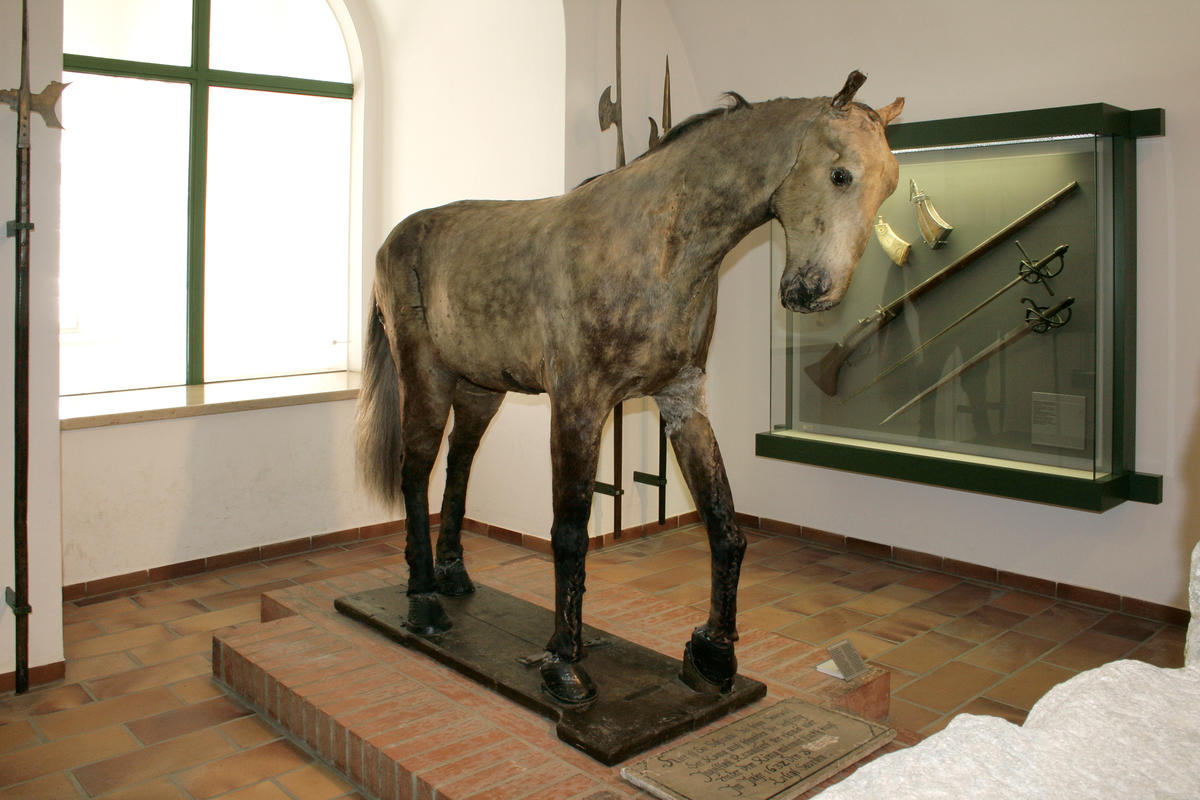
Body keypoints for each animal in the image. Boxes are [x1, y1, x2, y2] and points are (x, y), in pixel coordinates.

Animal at [355, 71, 902, 705]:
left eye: (889, 186)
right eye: (840, 174)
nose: (814, 292)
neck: (658, 246)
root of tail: (395, 238)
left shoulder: (683, 401)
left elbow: (725, 526)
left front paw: (713, 655)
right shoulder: (578, 405)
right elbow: (570, 533)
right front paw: (565, 666)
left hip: (478, 389)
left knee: (459, 466)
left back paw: (455, 577)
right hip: (425, 377)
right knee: (415, 471)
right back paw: (423, 603)